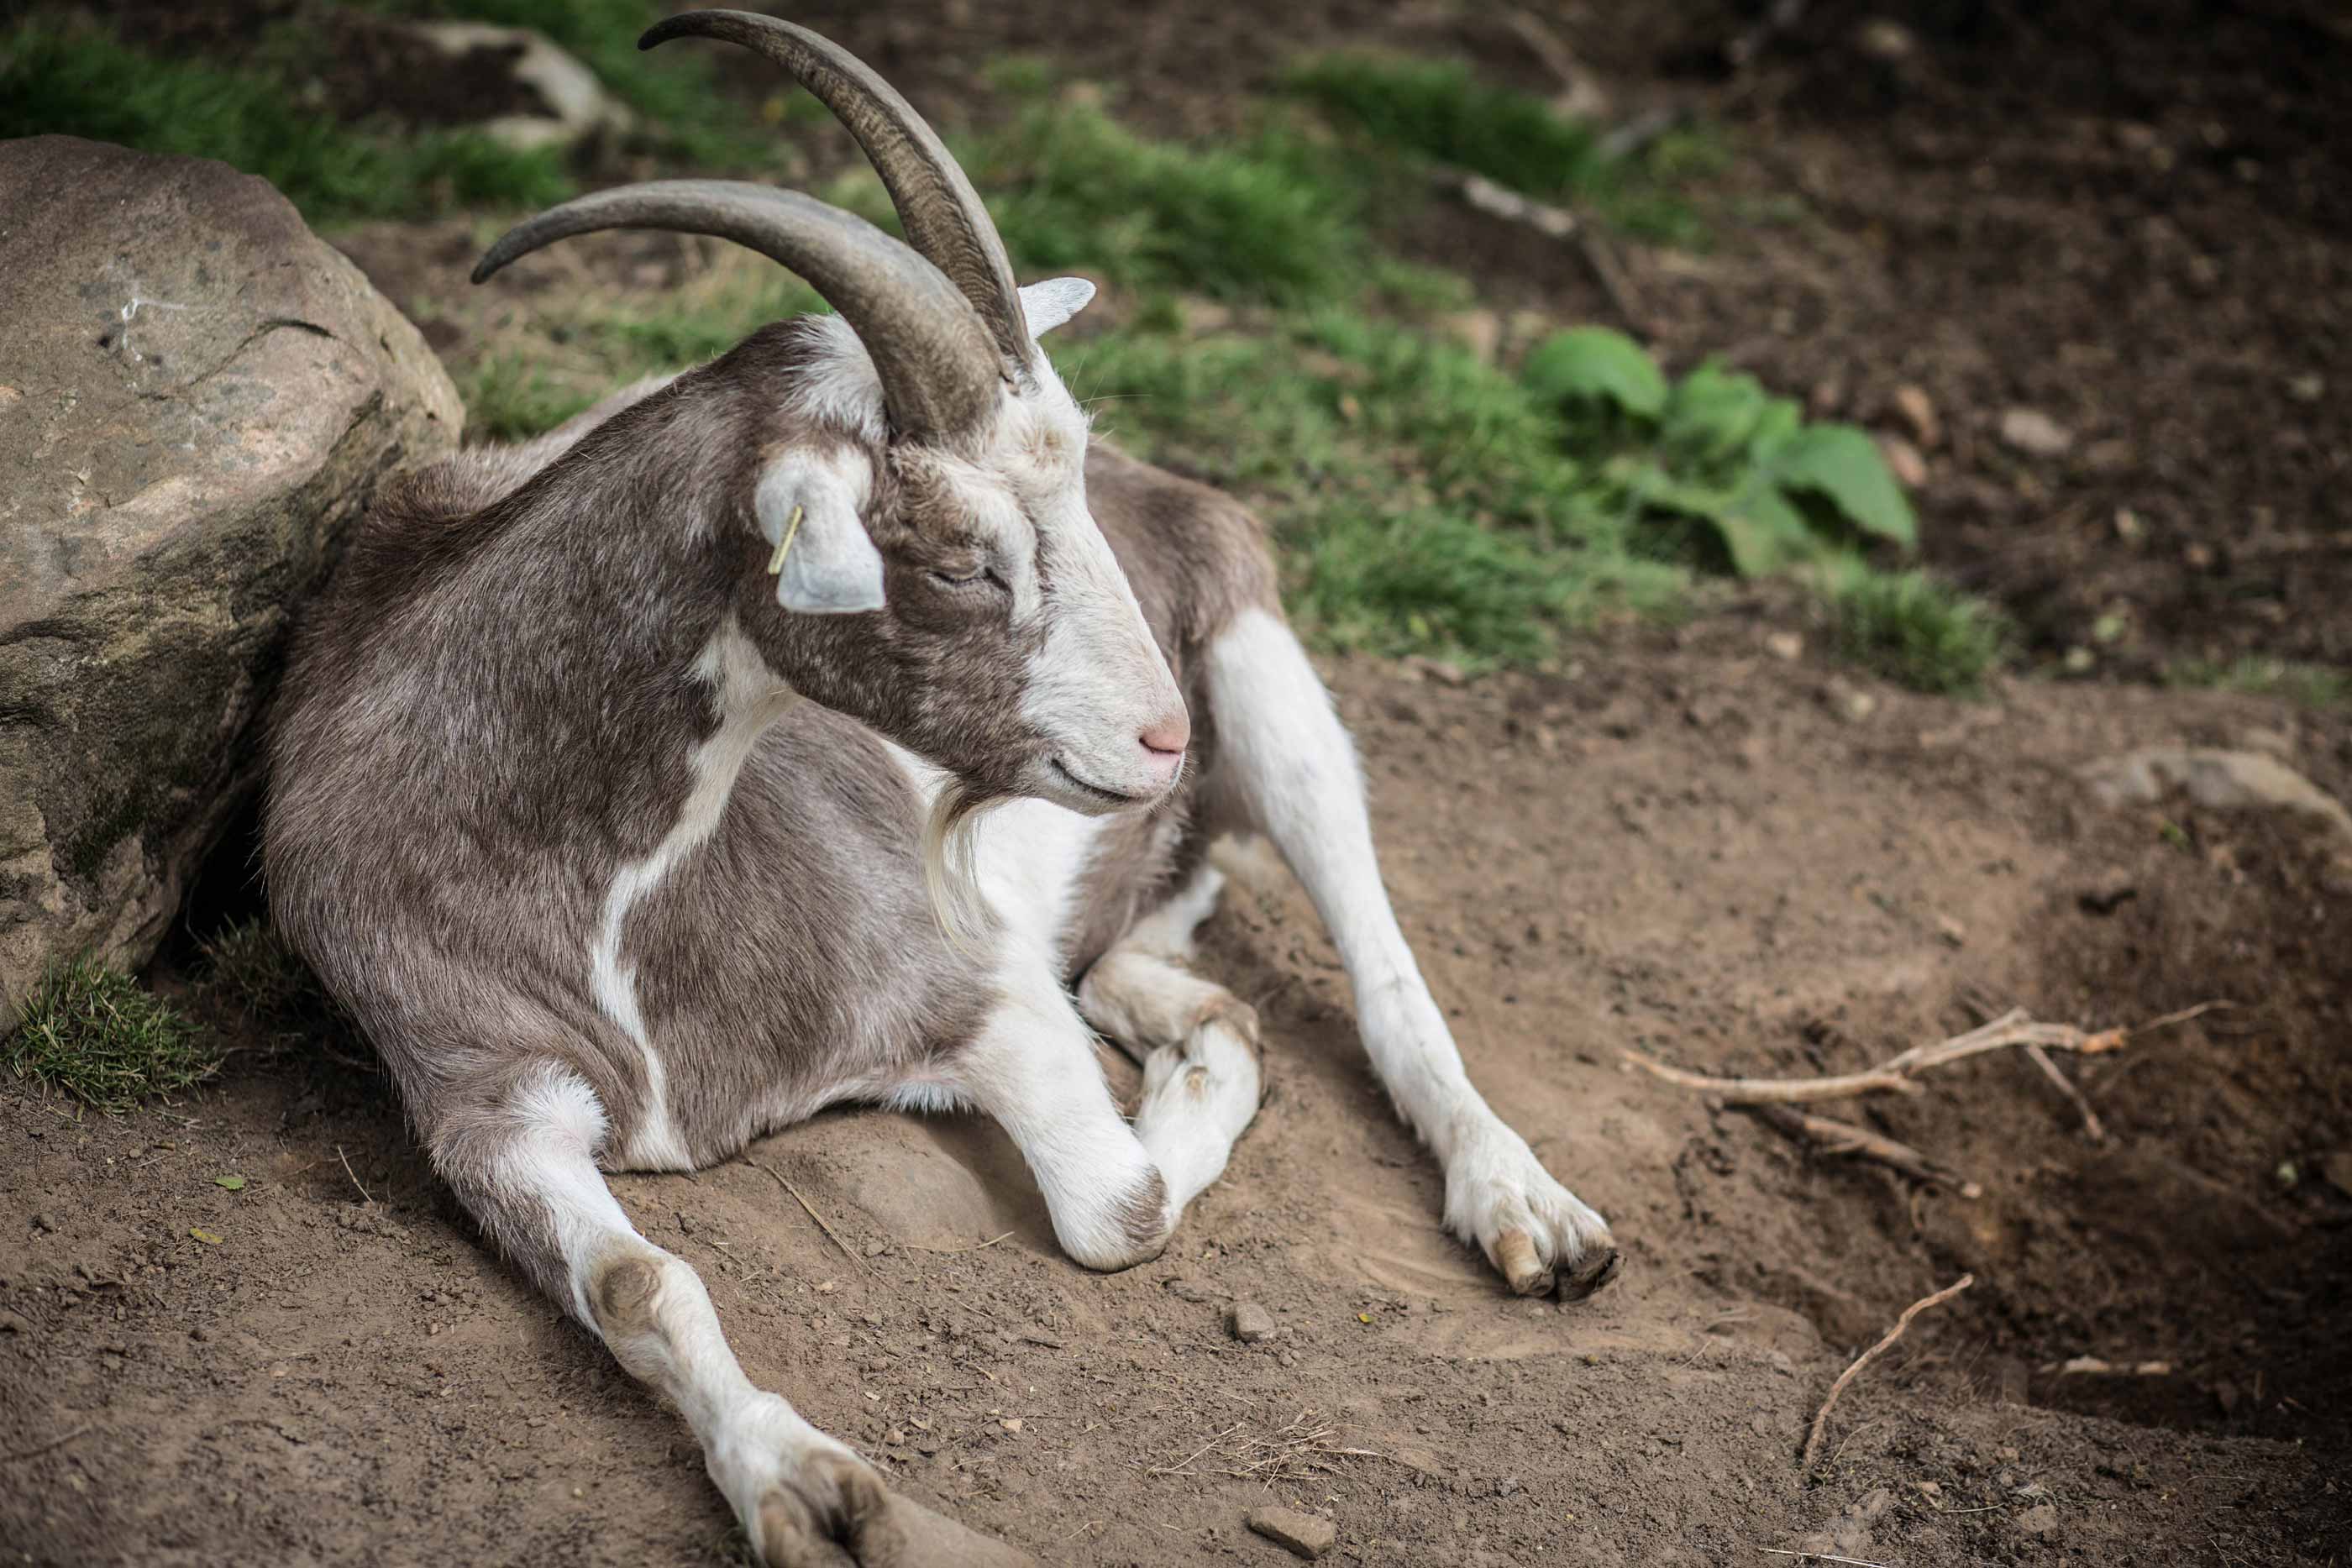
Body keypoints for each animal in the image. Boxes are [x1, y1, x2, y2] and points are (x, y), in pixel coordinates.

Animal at [262, 15, 1618, 1568]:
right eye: (966, 559)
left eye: (1063, 495)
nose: (1161, 737)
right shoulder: (481, 1101)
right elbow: (640, 1286)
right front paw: (798, 1485)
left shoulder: (973, 985)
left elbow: (1121, 1204)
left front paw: (1201, 1083)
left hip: (1265, 662)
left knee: (1382, 958)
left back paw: (1524, 1203)